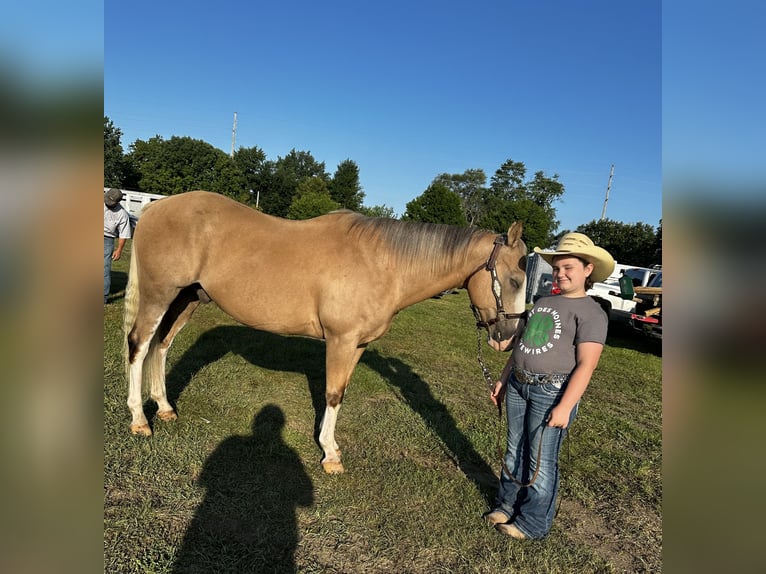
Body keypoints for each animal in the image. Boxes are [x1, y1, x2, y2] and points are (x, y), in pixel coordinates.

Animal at [123, 191, 532, 474]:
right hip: (159, 295)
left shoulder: (357, 345)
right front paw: (330, 455)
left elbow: (341, 393)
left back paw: (164, 408)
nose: (507, 338)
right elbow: (333, 394)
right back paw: (140, 421)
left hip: (188, 298)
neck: (383, 264)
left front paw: (329, 446)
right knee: (140, 345)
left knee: (162, 345)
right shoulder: (340, 340)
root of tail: (154, 208)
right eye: (514, 279)